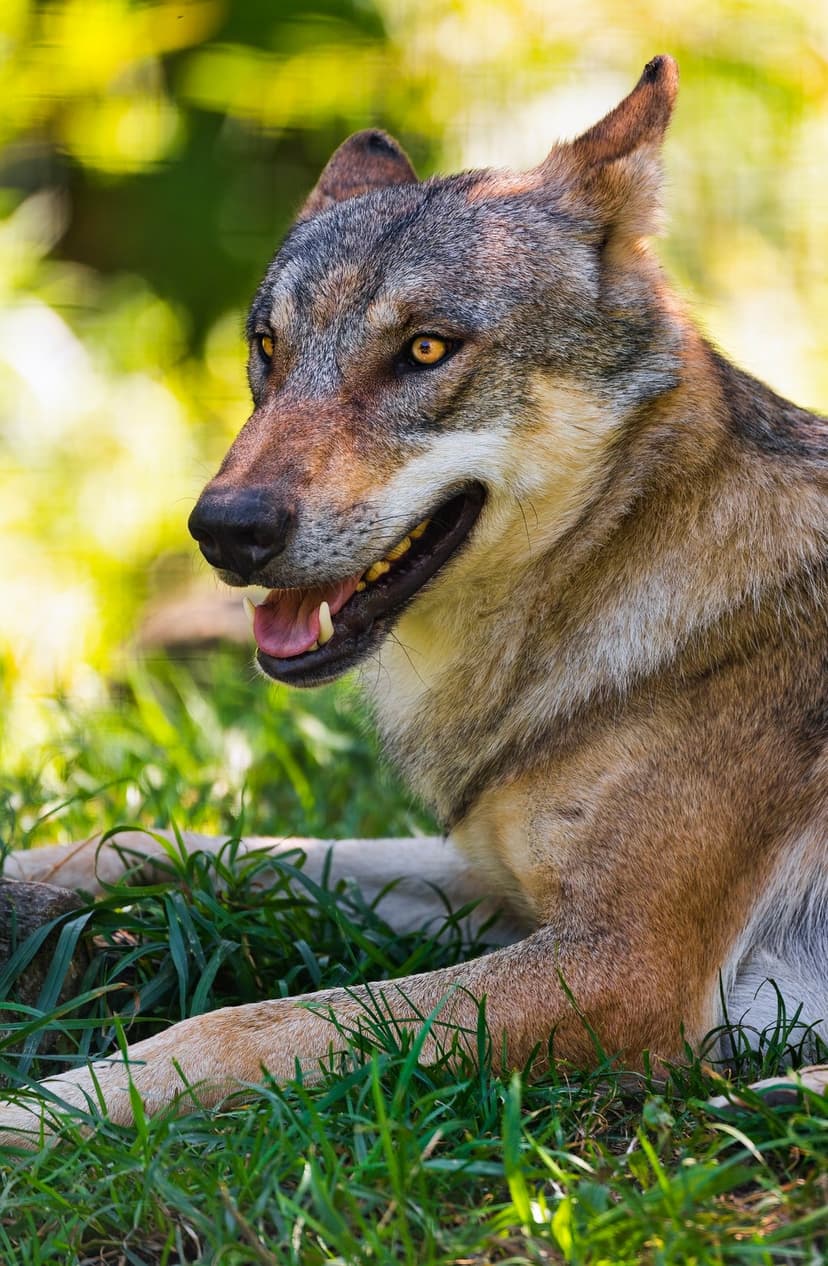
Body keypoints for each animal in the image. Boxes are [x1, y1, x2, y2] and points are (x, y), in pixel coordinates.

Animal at [2, 55, 826, 1140]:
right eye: (268, 348)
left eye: (426, 351)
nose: (225, 529)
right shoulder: (490, 878)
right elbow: (181, 840)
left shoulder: (621, 966)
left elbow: (241, 1025)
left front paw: (50, 1110)